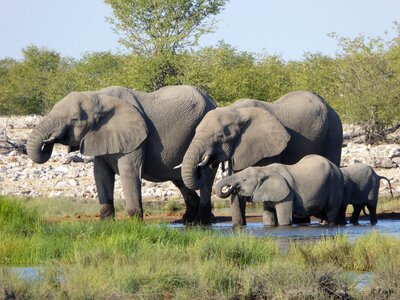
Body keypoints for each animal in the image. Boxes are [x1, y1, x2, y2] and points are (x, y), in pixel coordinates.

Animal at [27, 84, 219, 223]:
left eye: (74, 119)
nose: (49, 141)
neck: (98, 96)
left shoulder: (136, 139)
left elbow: (130, 172)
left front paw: (135, 225)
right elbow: (101, 175)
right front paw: (106, 224)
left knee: (206, 176)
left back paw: (203, 222)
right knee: (180, 179)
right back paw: (188, 220)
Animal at [214, 155, 346, 225]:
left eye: (244, 179)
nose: (233, 188)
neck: (264, 169)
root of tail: (338, 169)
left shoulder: (287, 194)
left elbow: (284, 218)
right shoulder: (268, 193)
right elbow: (268, 217)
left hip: (335, 183)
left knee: (331, 212)